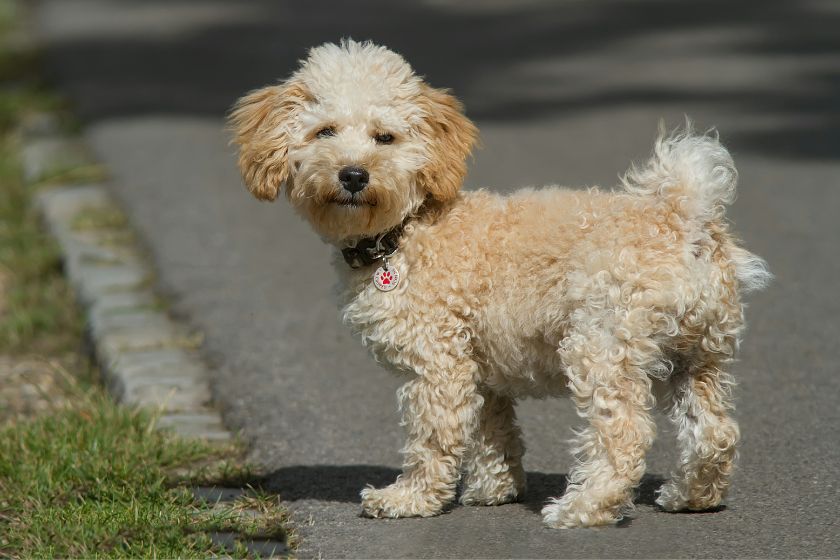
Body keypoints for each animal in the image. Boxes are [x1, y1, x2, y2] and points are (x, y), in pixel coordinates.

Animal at [228, 40, 768, 528]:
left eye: (385, 138)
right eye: (324, 131)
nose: (354, 174)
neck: (405, 231)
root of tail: (684, 217)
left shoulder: (438, 363)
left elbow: (434, 437)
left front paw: (409, 499)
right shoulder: (479, 366)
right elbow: (493, 432)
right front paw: (494, 490)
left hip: (602, 344)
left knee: (624, 434)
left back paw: (584, 508)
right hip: (699, 355)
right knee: (716, 432)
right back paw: (690, 496)